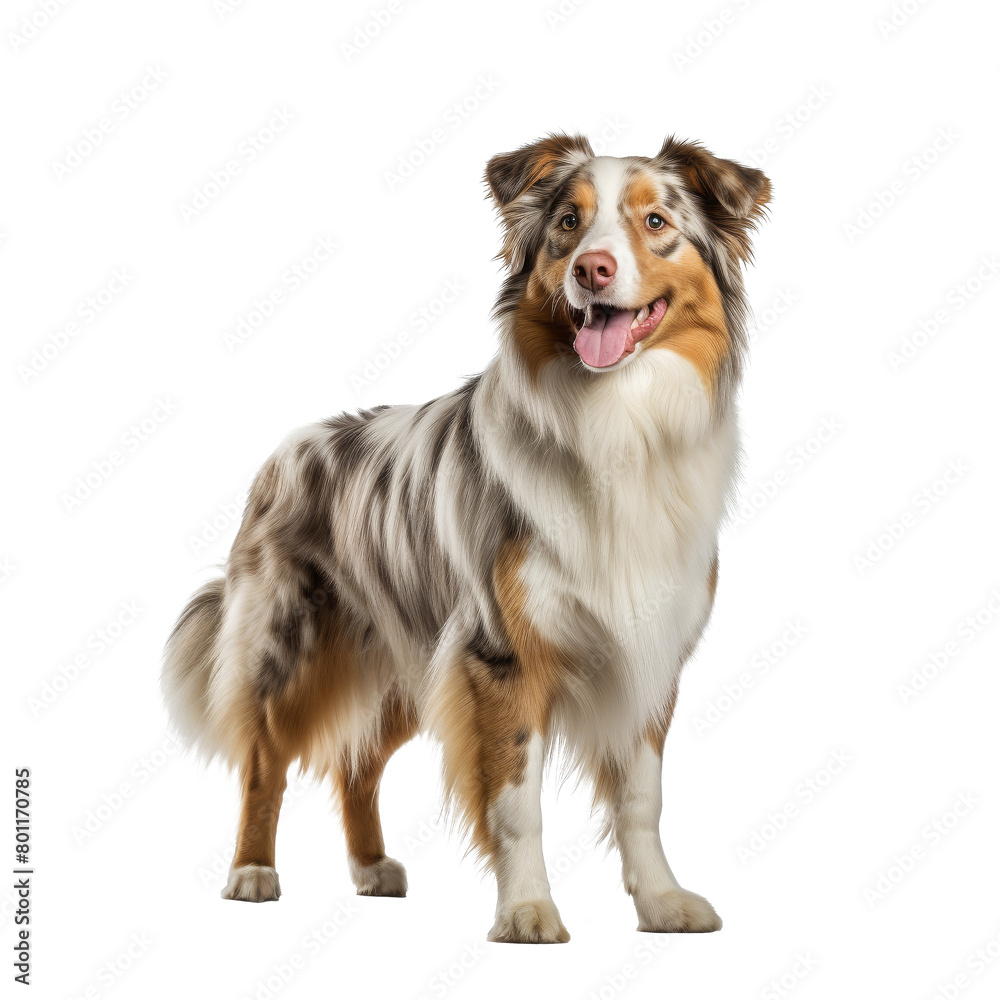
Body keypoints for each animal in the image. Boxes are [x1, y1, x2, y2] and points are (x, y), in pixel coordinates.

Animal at [164, 135, 772, 944]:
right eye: (569, 222)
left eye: (656, 221)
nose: (592, 269)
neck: (617, 420)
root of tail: (288, 450)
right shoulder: (500, 653)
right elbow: (516, 801)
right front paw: (527, 911)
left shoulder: (648, 650)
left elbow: (642, 797)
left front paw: (662, 902)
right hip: (289, 642)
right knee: (264, 758)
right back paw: (253, 873)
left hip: (408, 661)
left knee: (357, 764)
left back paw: (371, 869)